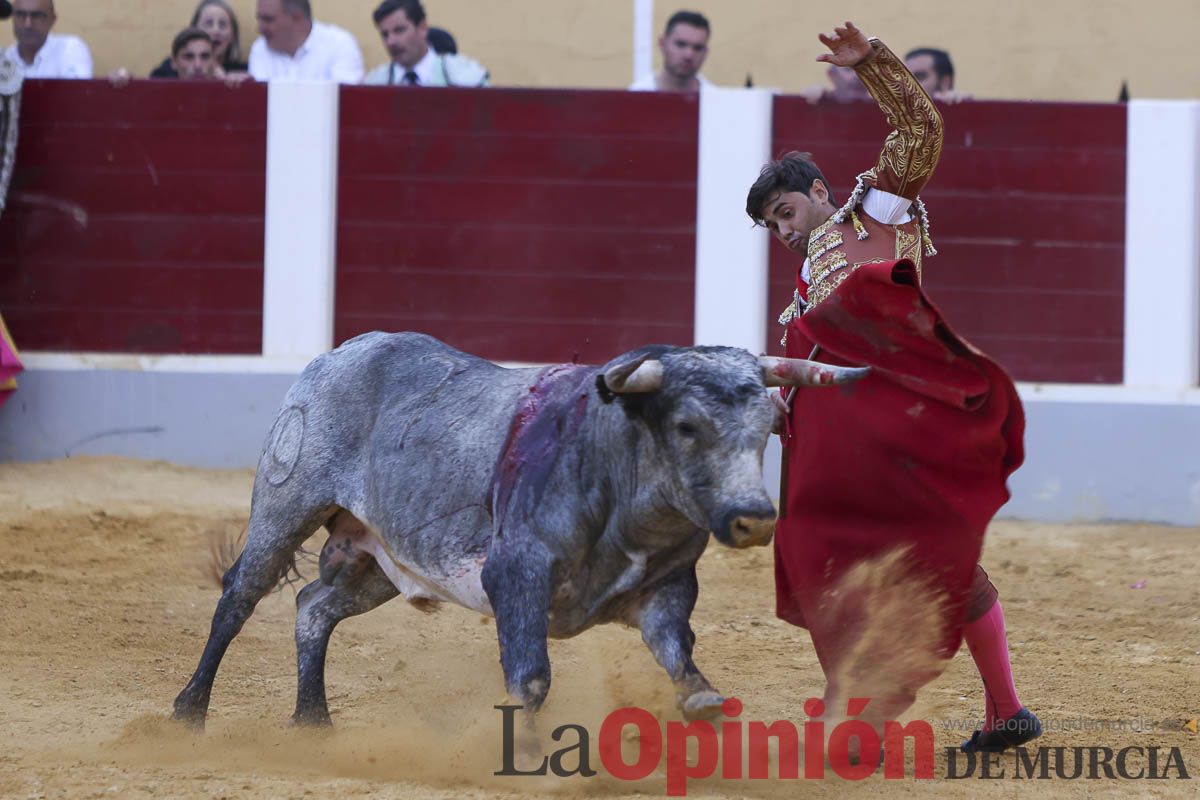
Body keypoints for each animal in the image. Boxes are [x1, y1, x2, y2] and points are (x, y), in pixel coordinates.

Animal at [171, 331, 864, 724]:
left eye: (766, 428)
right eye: (687, 426)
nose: (753, 519)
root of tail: (336, 355)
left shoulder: (668, 589)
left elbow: (677, 652)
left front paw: (702, 700)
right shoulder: (516, 577)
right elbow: (531, 681)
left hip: (383, 559)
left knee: (314, 607)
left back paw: (313, 721)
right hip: (285, 508)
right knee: (239, 596)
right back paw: (189, 711)